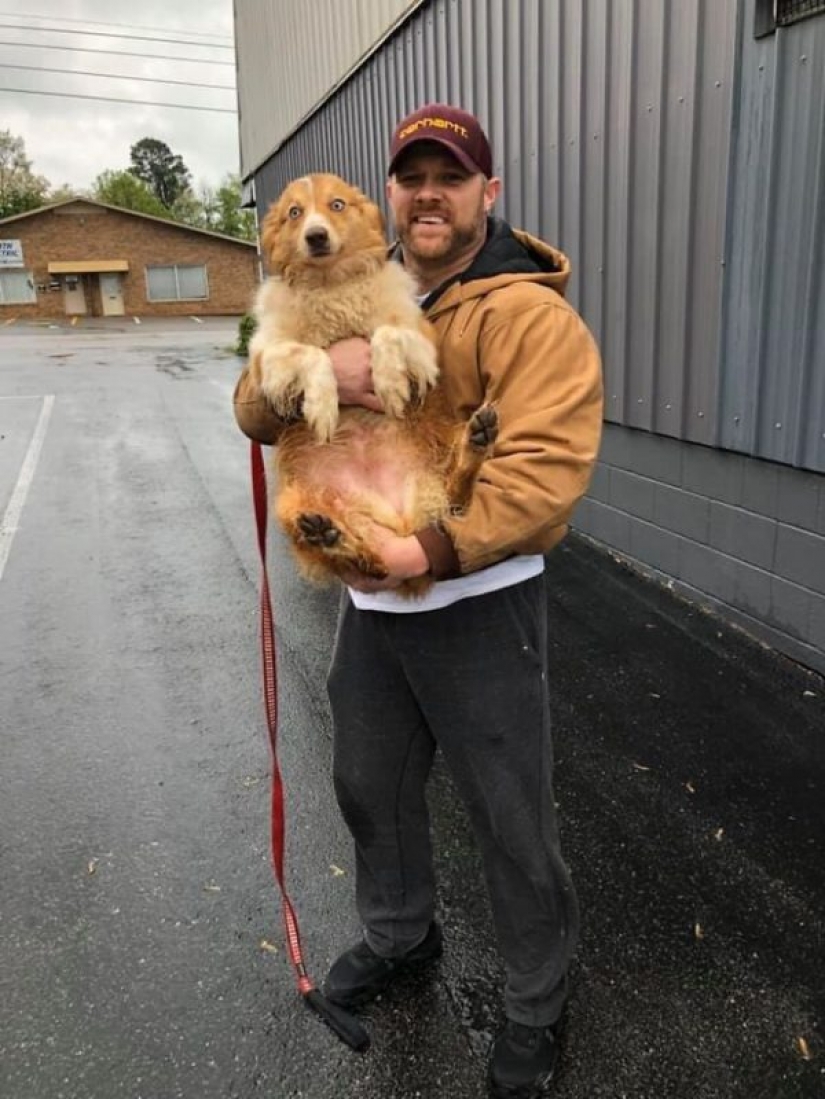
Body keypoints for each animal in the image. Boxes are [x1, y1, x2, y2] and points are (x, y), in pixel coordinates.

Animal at [247, 172, 496, 597]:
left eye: (336, 205)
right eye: (294, 212)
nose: (316, 236)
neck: (331, 285)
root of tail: (398, 516)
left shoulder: (419, 336)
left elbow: (385, 333)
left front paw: (390, 384)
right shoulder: (268, 355)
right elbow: (314, 354)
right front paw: (323, 406)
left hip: (438, 449)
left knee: (455, 497)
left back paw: (476, 442)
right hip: (293, 503)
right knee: (362, 555)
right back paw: (332, 538)